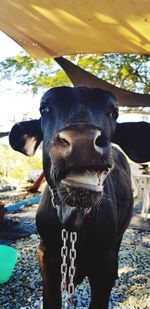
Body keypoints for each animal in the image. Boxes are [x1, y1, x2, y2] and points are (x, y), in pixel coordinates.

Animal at [9, 86, 150, 308]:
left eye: (114, 112)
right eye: (44, 108)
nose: (82, 141)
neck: (72, 222)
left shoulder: (103, 263)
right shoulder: (46, 258)